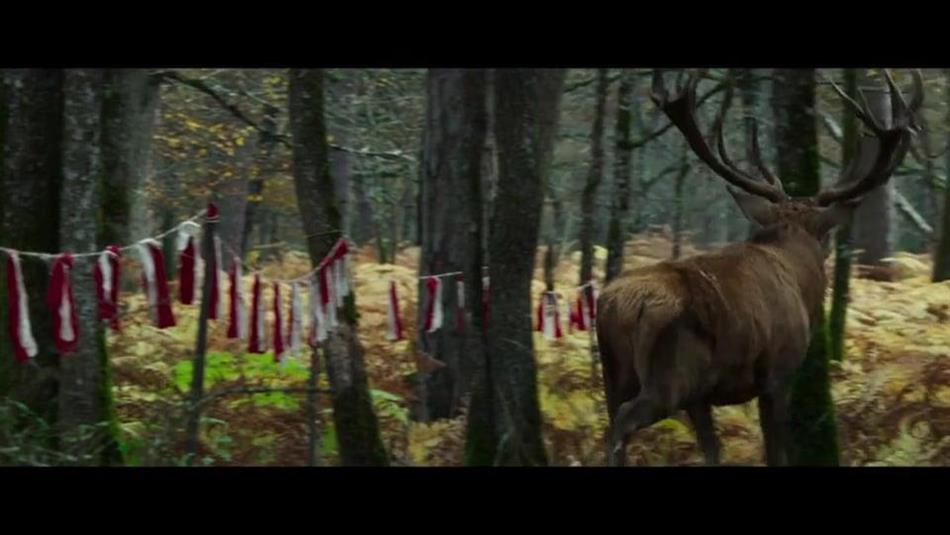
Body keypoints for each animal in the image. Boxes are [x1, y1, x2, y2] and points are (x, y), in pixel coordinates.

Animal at [597, 69, 923, 467]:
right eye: (826, 238)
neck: (799, 279)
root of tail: (621, 306)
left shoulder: (703, 397)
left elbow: (712, 451)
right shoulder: (778, 373)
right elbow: (775, 449)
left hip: (615, 373)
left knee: (610, 420)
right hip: (670, 375)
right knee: (624, 421)